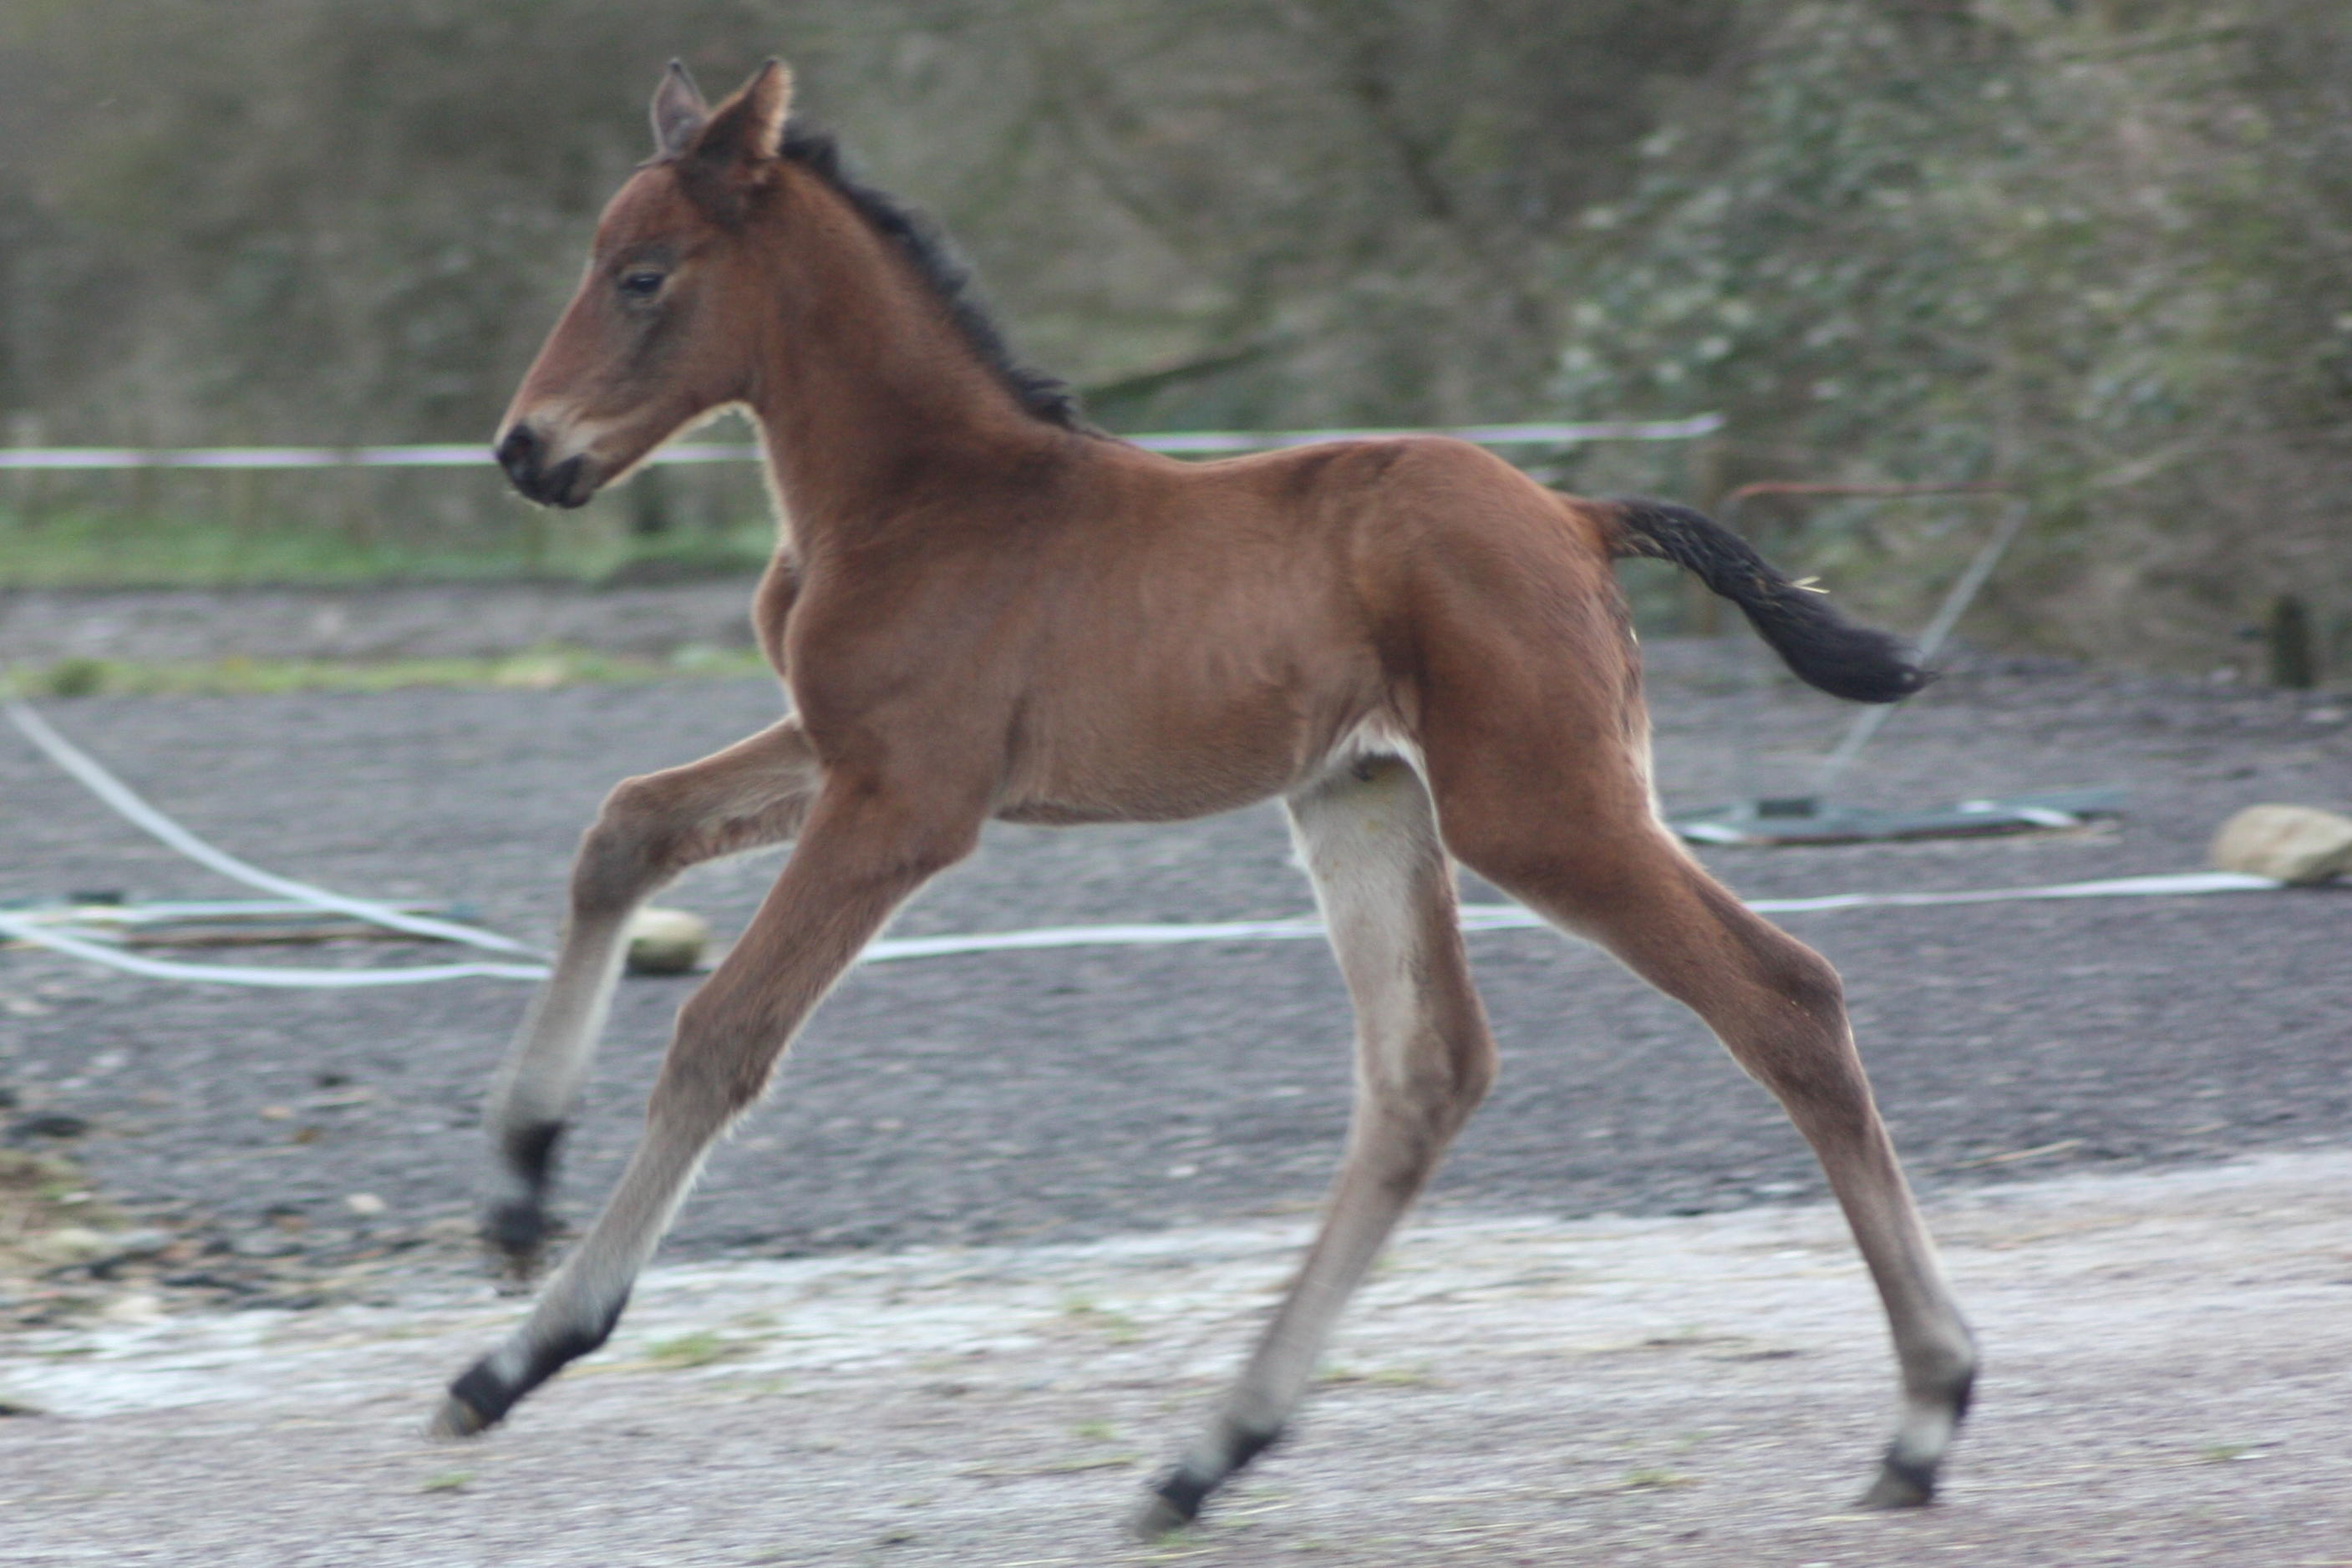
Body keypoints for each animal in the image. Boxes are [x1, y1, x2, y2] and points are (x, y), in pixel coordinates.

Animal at [432, 58, 1975, 1532]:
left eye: (643, 274)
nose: (523, 448)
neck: (922, 495)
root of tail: (1575, 515)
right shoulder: (840, 746)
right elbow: (624, 826)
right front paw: (515, 1186)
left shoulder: (904, 801)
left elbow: (722, 1032)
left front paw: (525, 1350)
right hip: (1363, 800)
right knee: (1426, 1071)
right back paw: (1206, 1456)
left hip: (1544, 812)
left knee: (1782, 997)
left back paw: (1924, 1415)